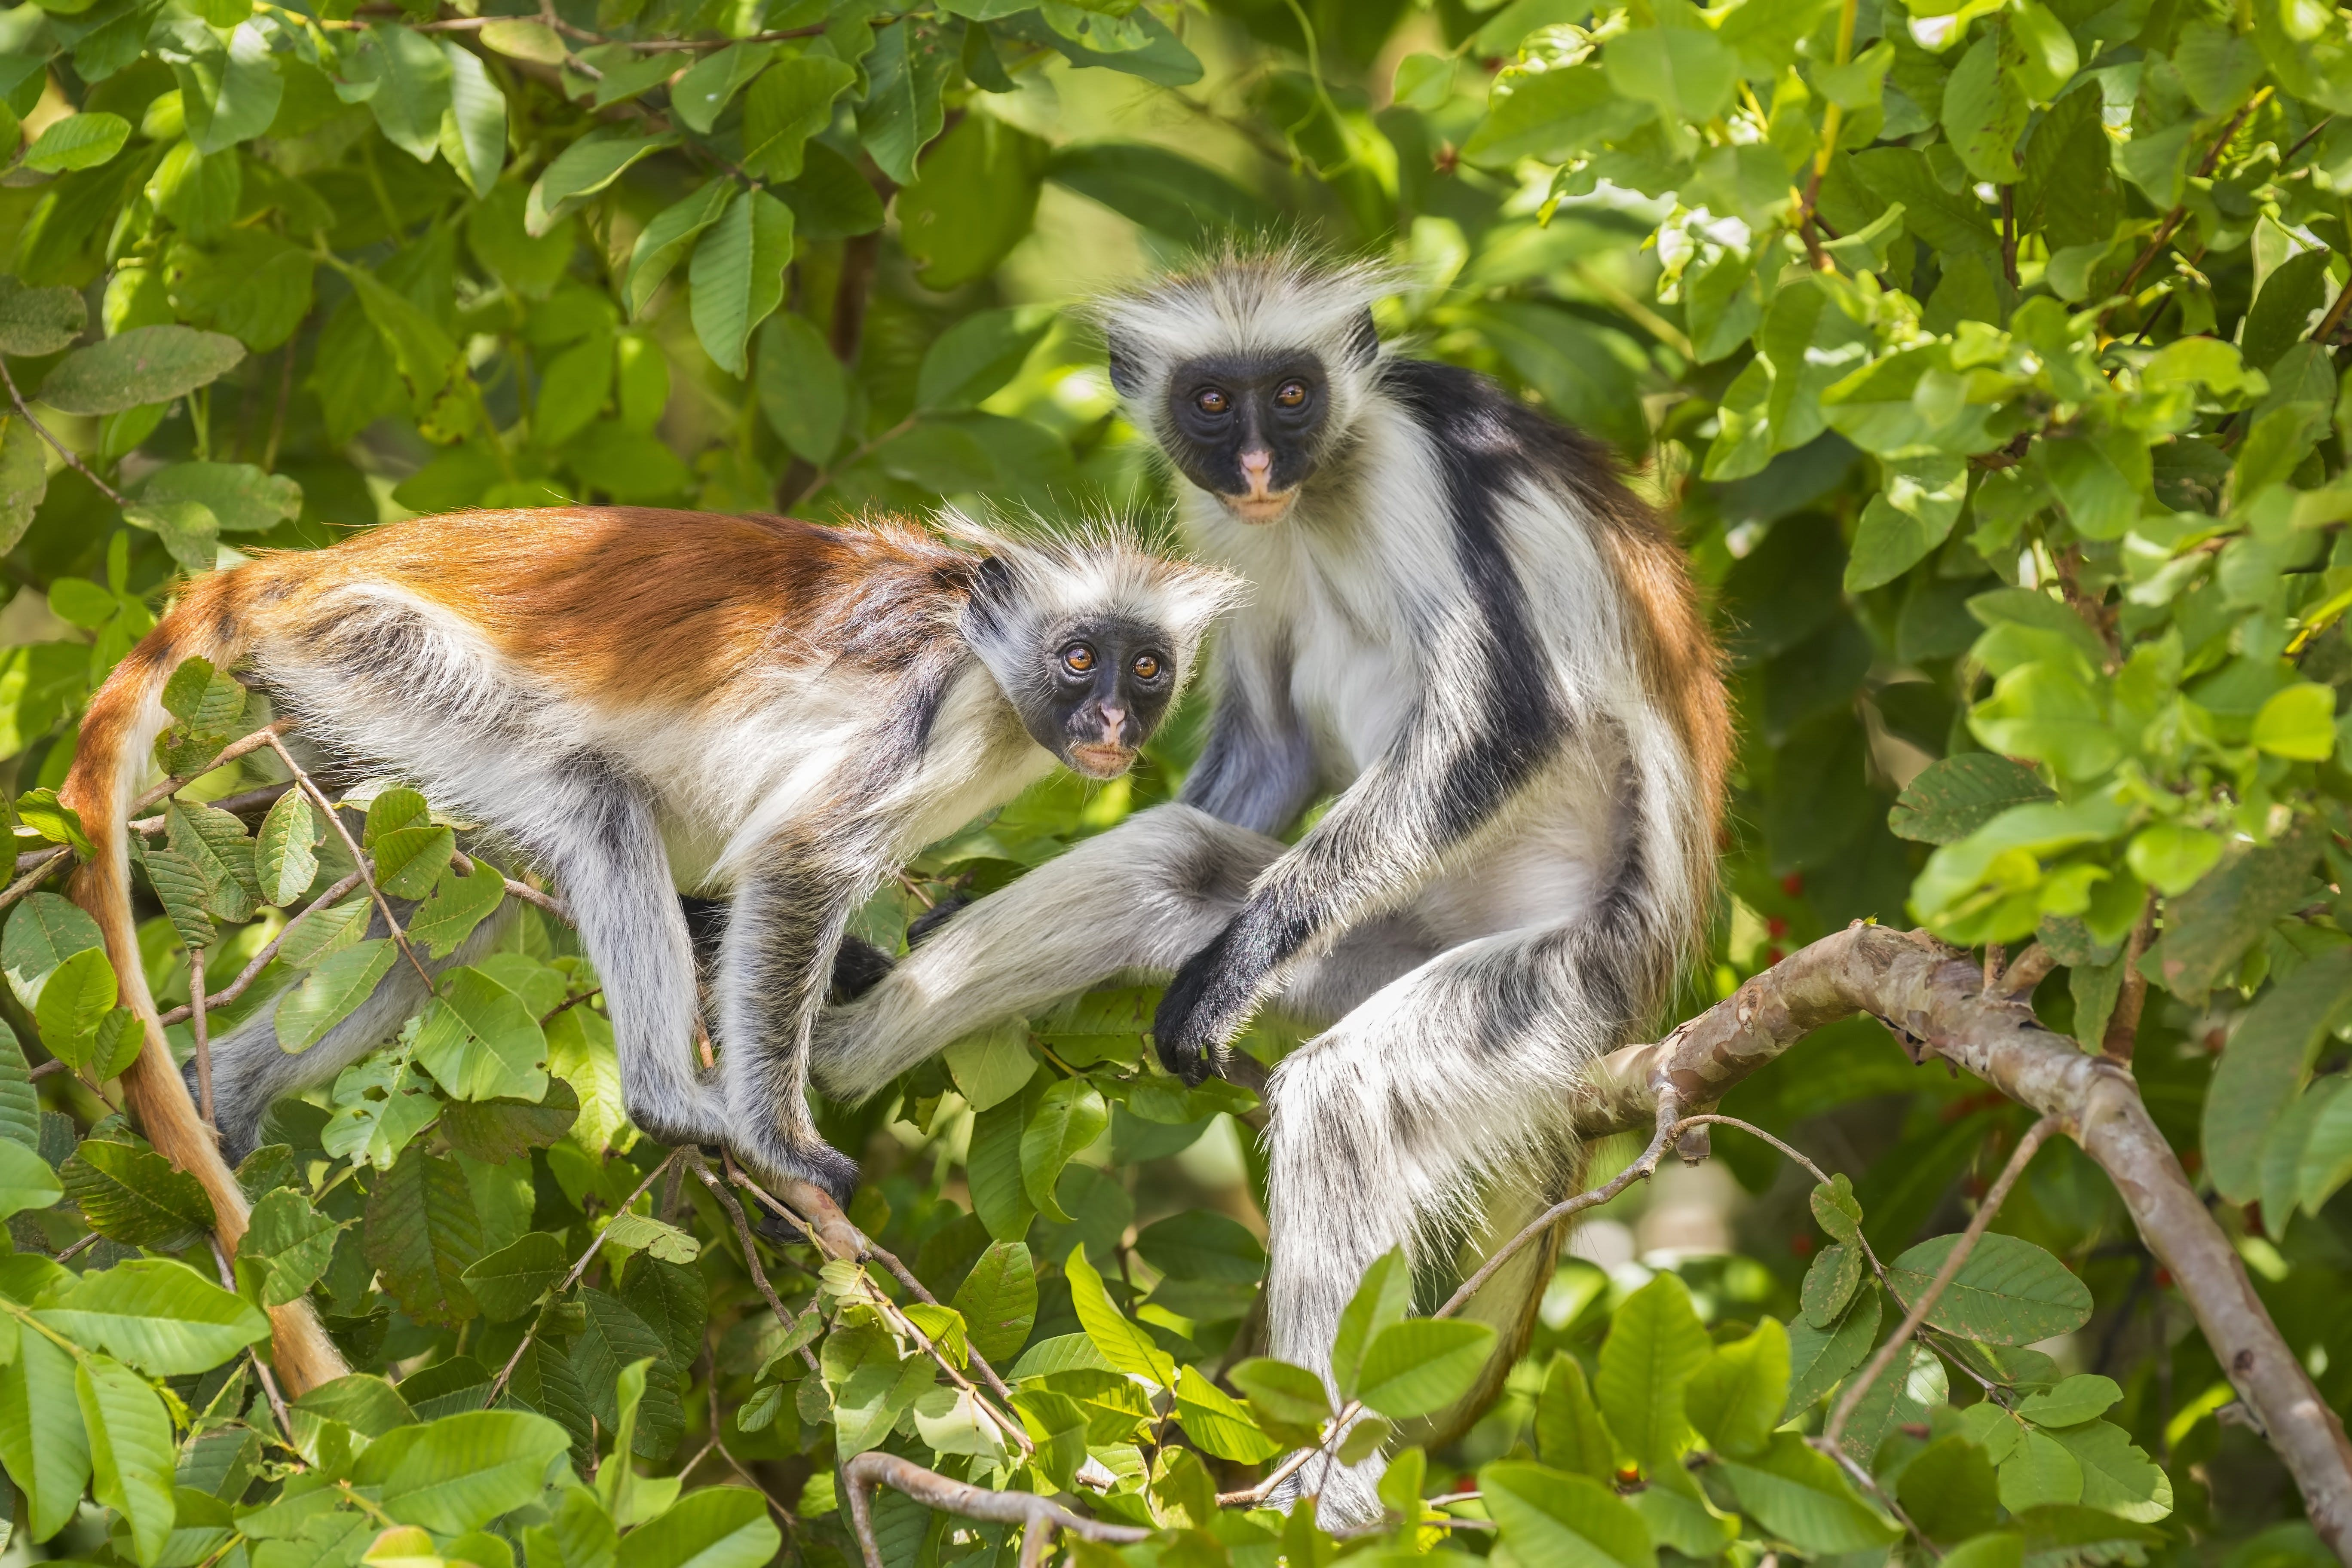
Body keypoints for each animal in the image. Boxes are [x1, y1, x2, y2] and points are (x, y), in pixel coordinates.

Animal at [64, 503, 1242, 1204]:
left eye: (1144, 668)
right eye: (1079, 658)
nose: (1110, 720)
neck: (988, 659)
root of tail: (301, 571)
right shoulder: (927, 704)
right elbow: (798, 863)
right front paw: (782, 1142)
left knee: (449, 917)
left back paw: (224, 1097)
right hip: (371, 650)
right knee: (594, 804)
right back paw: (667, 1099)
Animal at [818, 257, 1740, 1523]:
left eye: (1294, 395)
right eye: (1214, 403)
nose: (1259, 465)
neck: (1317, 491)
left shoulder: (1408, 461)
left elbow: (1506, 720)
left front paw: (1236, 966)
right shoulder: (1220, 523)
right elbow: (1265, 750)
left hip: (1562, 975)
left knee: (1346, 1092)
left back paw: (1328, 1493)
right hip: (1379, 939)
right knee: (1169, 862)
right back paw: (827, 1052)